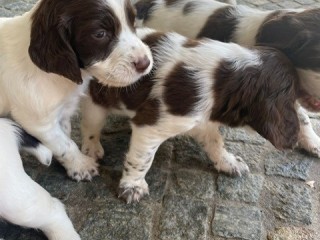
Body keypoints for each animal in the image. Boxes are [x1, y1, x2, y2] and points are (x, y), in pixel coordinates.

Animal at [0, 0, 152, 237]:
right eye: (100, 34)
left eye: (132, 21)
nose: (145, 63)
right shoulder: (38, 120)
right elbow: (65, 145)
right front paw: (81, 166)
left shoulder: (61, 111)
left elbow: (65, 137)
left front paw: (72, 165)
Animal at [80, 28, 304, 204]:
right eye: (294, 97)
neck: (219, 80)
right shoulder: (151, 125)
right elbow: (142, 159)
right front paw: (133, 187)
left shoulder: (200, 120)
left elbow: (216, 141)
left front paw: (229, 163)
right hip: (95, 102)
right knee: (90, 127)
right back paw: (91, 150)